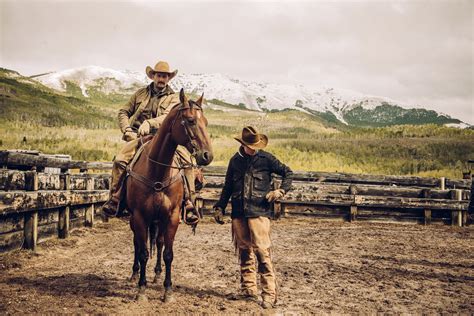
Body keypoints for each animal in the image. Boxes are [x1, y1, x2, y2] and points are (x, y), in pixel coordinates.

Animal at [126, 88, 215, 302]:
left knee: (158, 243)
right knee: (137, 243)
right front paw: (141, 289)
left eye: (206, 122)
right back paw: (134, 273)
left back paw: (157, 274)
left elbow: (168, 253)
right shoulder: (139, 217)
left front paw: (167, 290)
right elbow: (143, 252)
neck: (157, 172)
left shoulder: (172, 217)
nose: (207, 155)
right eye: (190, 120)